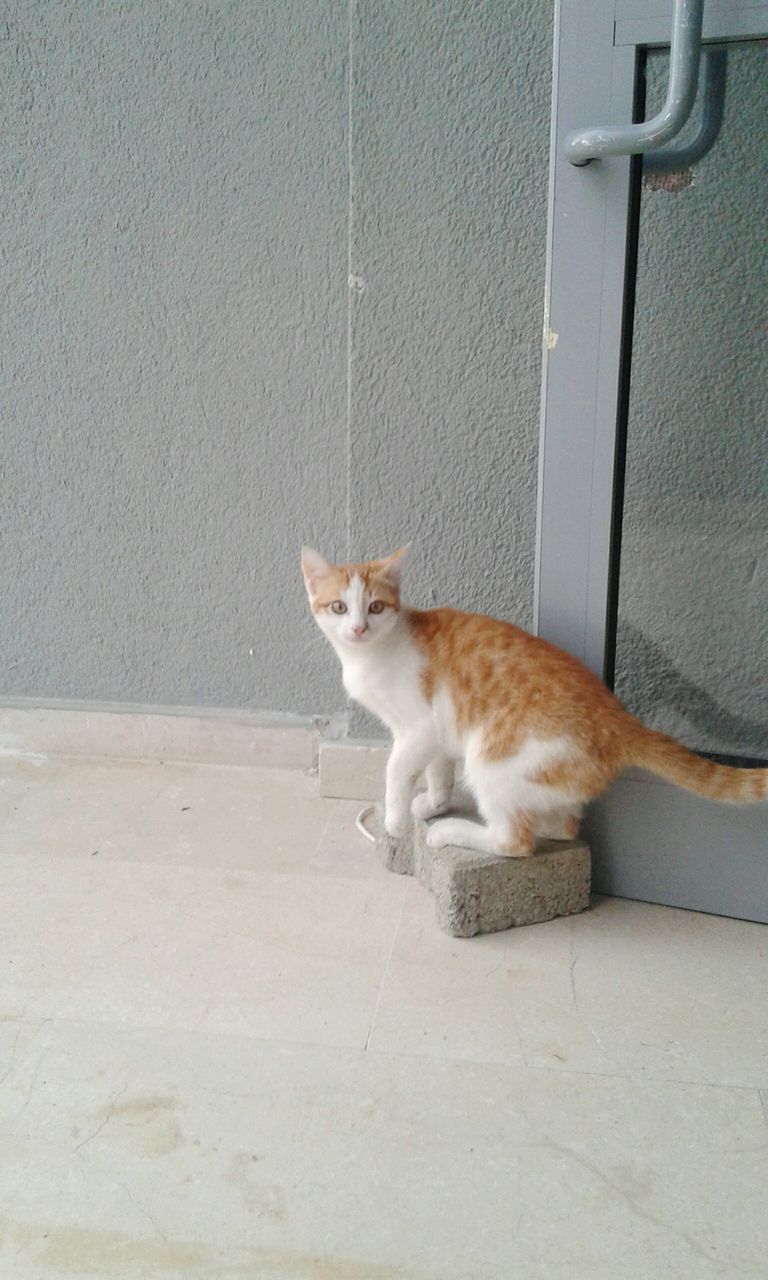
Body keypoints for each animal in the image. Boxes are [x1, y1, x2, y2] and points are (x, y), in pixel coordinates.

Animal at [302, 545, 768, 855]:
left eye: (376, 607)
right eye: (340, 607)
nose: (359, 628)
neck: (372, 655)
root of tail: (619, 718)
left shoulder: (418, 727)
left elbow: (397, 770)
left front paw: (399, 819)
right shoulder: (437, 731)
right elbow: (438, 770)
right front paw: (434, 803)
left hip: (493, 759)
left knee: (514, 841)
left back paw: (453, 832)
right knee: (565, 825)